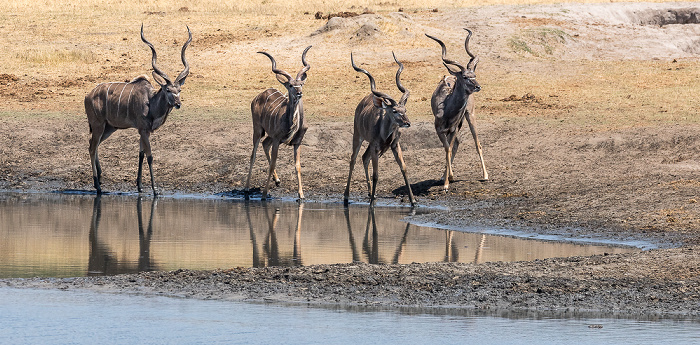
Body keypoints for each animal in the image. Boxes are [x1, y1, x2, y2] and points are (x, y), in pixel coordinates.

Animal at [86, 24, 193, 194]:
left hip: (110, 127)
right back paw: (97, 185)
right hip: (98, 125)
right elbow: (149, 156)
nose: (178, 104)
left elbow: (141, 154)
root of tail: (88, 96)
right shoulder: (143, 130)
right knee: (91, 147)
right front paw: (155, 189)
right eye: (168, 90)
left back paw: (100, 180)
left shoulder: (144, 131)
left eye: (179, 90)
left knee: (95, 145)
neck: (151, 102)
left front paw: (140, 186)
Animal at [246, 46, 312, 202]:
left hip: (269, 135)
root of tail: (258, 96)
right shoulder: (277, 139)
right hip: (258, 129)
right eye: (290, 85)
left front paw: (301, 195)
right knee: (253, 154)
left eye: (301, 84)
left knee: (265, 144)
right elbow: (272, 164)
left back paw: (277, 181)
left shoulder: (297, 142)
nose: (299, 93)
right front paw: (264, 194)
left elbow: (298, 166)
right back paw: (246, 189)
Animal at [344, 52, 416, 206]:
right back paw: (346, 196)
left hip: (369, 145)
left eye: (405, 109)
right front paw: (371, 204)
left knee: (364, 158)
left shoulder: (394, 145)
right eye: (394, 110)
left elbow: (404, 168)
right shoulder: (375, 147)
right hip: (358, 136)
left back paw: (371, 193)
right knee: (353, 160)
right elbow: (376, 174)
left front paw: (413, 201)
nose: (407, 123)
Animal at [426, 29, 486, 191]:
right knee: (455, 144)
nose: (477, 86)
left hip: (470, 115)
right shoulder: (440, 130)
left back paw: (485, 176)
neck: (447, 109)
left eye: (474, 75)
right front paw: (447, 178)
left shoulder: (453, 129)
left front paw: (447, 182)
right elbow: (447, 148)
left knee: (477, 143)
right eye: (465, 76)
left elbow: (449, 147)